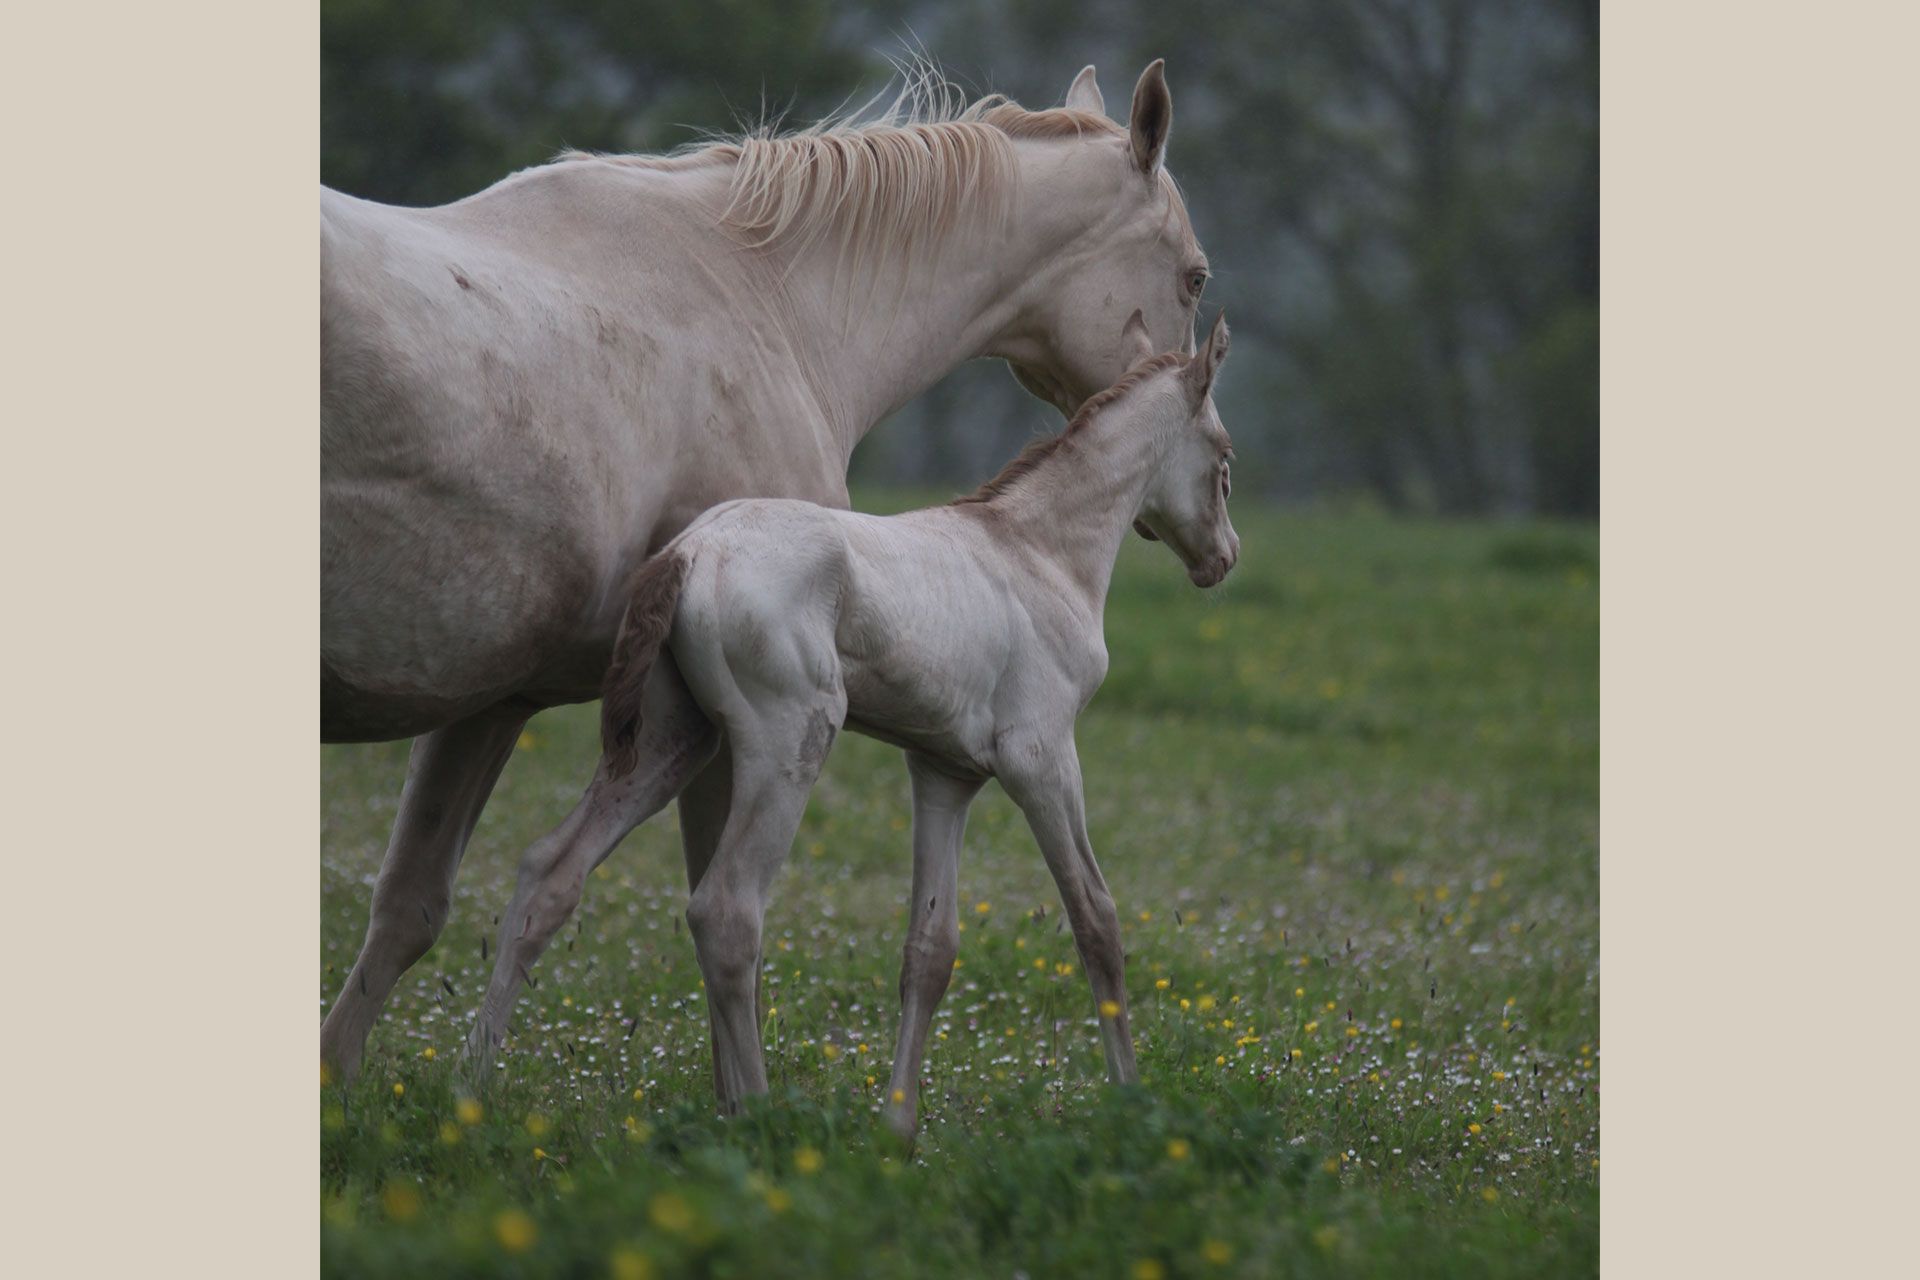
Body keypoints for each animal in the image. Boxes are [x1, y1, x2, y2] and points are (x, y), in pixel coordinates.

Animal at [470, 314, 1236, 1136]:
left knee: (550, 871)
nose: (1223, 559)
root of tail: (691, 553)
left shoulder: (945, 772)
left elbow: (931, 948)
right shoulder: (1042, 758)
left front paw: (898, 1128)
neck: (1039, 552)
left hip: (669, 740)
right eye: (1224, 457)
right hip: (790, 743)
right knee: (725, 910)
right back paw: (758, 1113)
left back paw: (467, 1088)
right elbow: (1097, 920)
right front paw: (1130, 1100)